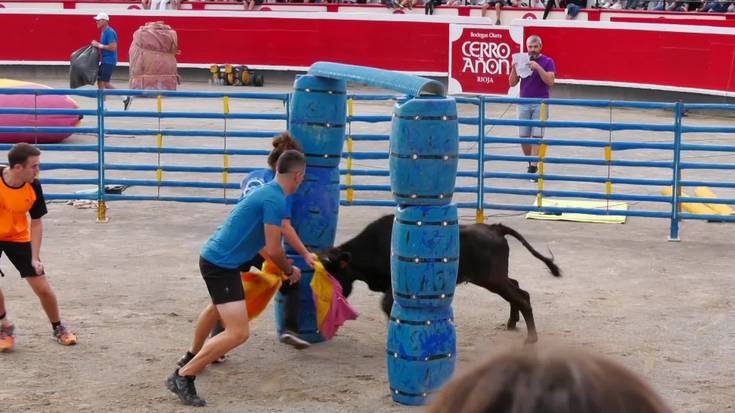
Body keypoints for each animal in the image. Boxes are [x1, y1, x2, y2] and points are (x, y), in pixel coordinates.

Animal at [318, 214, 564, 342]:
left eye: (333, 272)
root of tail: (495, 228)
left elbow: (387, 306)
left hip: (492, 278)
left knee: (521, 297)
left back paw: (531, 338)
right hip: (494, 278)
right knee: (519, 290)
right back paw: (512, 323)